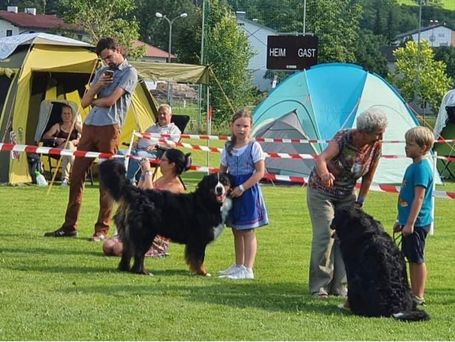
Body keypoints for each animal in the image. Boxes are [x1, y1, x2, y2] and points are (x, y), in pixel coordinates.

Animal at [100, 160, 232, 276]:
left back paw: (125, 268)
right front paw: (202, 273)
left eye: (224, 182)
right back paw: (142, 271)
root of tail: (139, 193)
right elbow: (199, 258)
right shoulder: (198, 239)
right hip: (145, 233)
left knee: (127, 251)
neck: (207, 202)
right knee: (139, 253)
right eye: (213, 183)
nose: (219, 189)